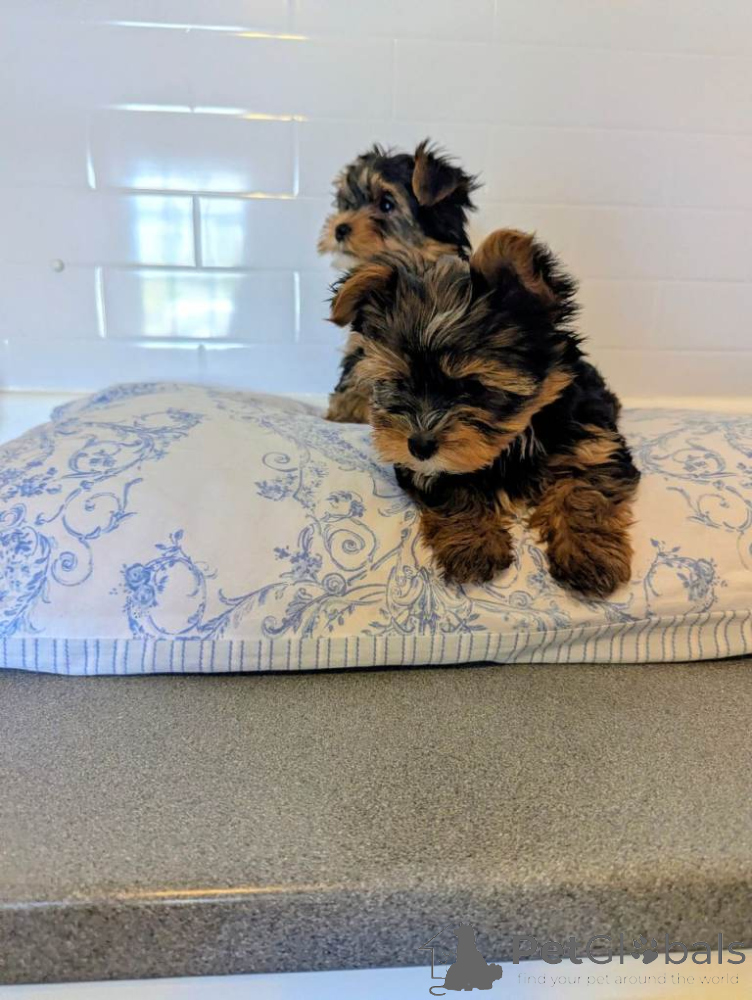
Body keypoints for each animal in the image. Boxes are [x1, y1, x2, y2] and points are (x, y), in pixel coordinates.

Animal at [328, 229, 640, 599]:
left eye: (471, 386)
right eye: (399, 383)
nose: (418, 444)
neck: (517, 439)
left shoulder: (593, 444)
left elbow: (586, 492)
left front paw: (589, 554)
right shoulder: (427, 467)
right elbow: (453, 488)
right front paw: (472, 546)